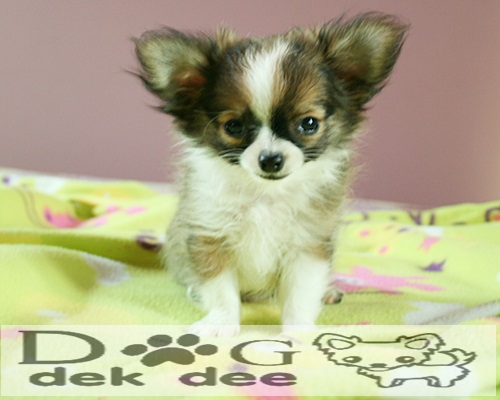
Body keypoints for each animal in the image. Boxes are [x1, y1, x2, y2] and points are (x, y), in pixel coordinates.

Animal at [135, 13, 407, 336]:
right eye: (234, 126)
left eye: (309, 123)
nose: (271, 159)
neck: (265, 196)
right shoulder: (210, 235)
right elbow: (221, 291)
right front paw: (221, 323)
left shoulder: (308, 244)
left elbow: (301, 294)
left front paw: (297, 331)